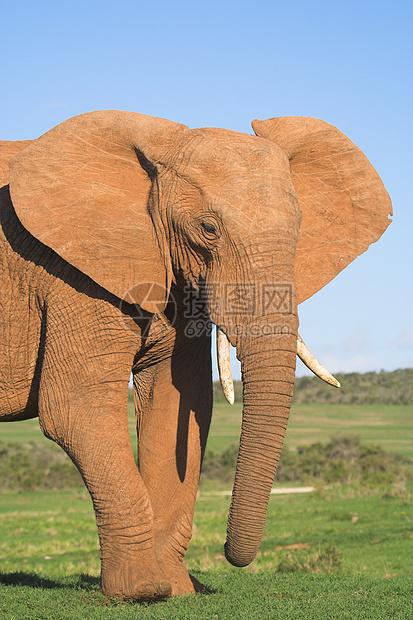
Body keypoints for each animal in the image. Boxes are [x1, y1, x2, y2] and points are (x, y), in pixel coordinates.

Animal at [0, 111, 392, 600]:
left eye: (300, 229)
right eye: (208, 229)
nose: (228, 554)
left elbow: (176, 405)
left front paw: (177, 591)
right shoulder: (73, 272)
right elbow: (75, 407)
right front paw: (143, 591)